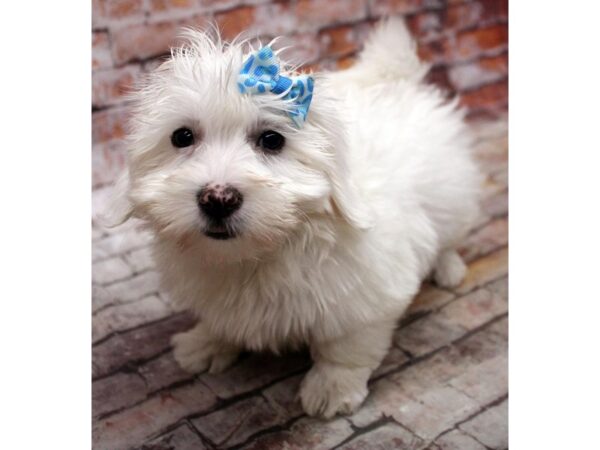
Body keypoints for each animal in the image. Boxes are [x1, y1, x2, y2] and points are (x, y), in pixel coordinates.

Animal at [108, 18, 480, 418]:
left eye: (272, 140)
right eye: (182, 137)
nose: (218, 199)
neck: (261, 253)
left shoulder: (369, 291)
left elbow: (347, 343)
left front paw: (332, 386)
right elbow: (218, 320)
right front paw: (206, 343)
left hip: (451, 194)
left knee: (449, 235)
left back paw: (449, 267)